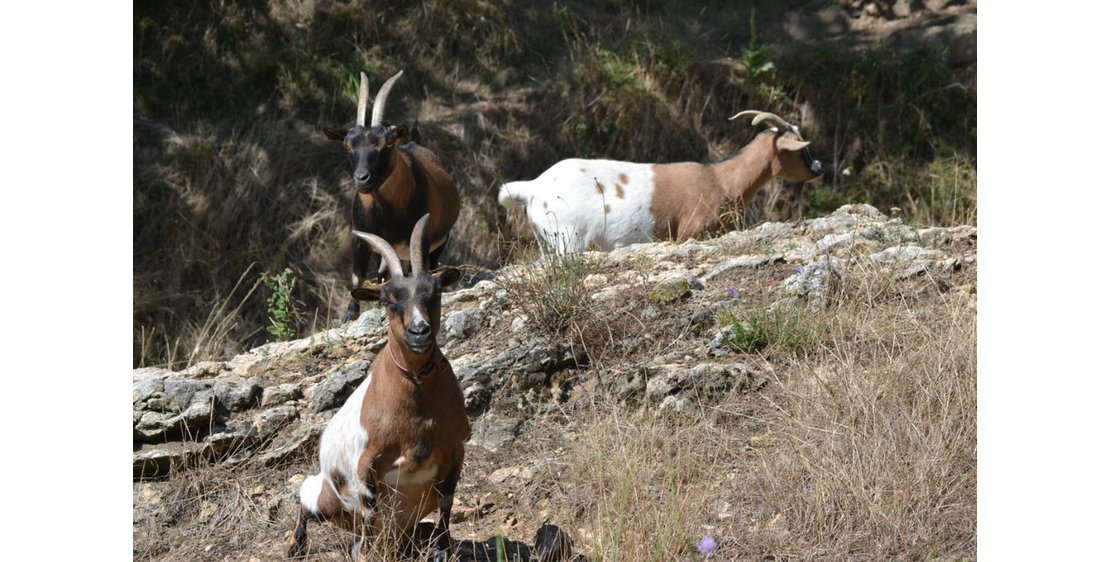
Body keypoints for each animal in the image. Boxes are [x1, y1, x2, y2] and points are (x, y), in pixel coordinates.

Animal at [288, 213, 466, 559]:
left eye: (435, 291)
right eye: (387, 299)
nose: (419, 331)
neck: (417, 408)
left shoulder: (455, 450)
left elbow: (447, 502)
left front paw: (442, 551)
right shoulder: (366, 469)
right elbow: (371, 515)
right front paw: (366, 553)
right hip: (326, 497)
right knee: (306, 500)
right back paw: (296, 546)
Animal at [321, 70, 459, 319]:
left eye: (387, 144)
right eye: (348, 146)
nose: (362, 178)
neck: (387, 214)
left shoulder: (421, 238)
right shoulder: (362, 239)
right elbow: (358, 275)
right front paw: (350, 314)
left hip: (441, 240)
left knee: (431, 265)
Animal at [499, 111, 821, 253]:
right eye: (801, 149)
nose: (818, 168)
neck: (720, 179)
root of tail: (533, 186)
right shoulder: (692, 231)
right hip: (568, 239)